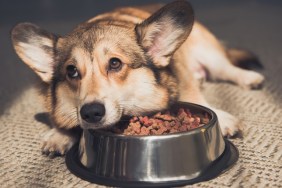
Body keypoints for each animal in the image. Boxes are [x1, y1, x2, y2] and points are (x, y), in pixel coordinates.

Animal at [9, 0, 264, 156]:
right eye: (71, 71)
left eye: (115, 63)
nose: (91, 112)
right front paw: (60, 135)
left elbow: (196, 97)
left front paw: (224, 118)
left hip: (208, 52)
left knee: (226, 68)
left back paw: (250, 77)